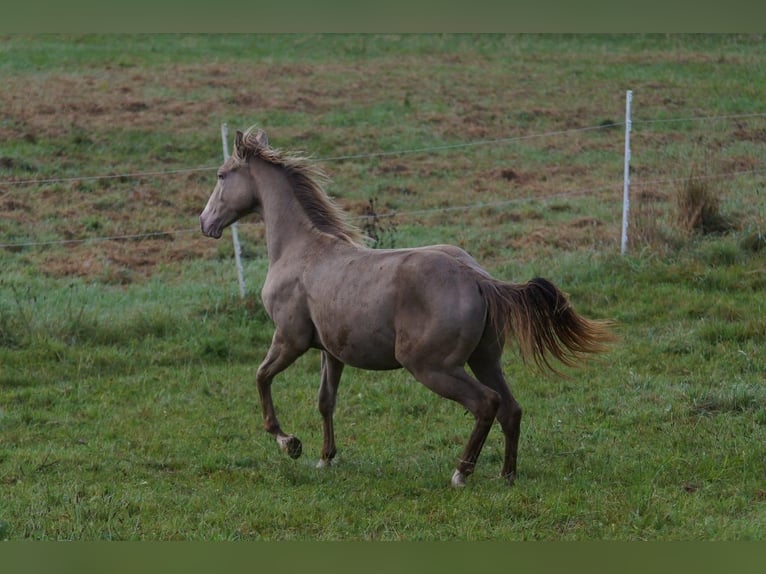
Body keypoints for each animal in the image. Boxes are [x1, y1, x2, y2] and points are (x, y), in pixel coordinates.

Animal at [201, 125, 616, 486]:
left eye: (222, 174)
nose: (205, 223)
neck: (301, 249)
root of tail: (477, 279)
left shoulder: (290, 339)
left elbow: (261, 377)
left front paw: (289, 444)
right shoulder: (330, 351)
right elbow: (325, 400)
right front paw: (325, 458)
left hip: (431, 366)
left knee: (487, 403)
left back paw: (461, 473)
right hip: (484, 358)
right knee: (511, 409)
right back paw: (507, 475)